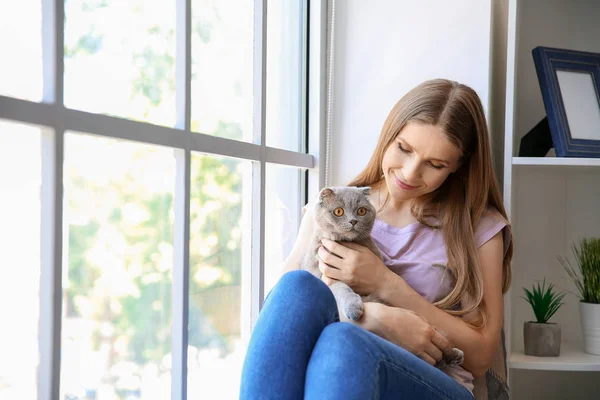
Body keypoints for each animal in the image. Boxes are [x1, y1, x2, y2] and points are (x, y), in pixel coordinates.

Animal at [302, 186, 466, 370]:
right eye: (338, 211)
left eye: (361, 211)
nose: (353, 221)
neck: (348, 244)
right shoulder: (324, 275)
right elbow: (342, 288)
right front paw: (354, 308)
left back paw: (454, 354)